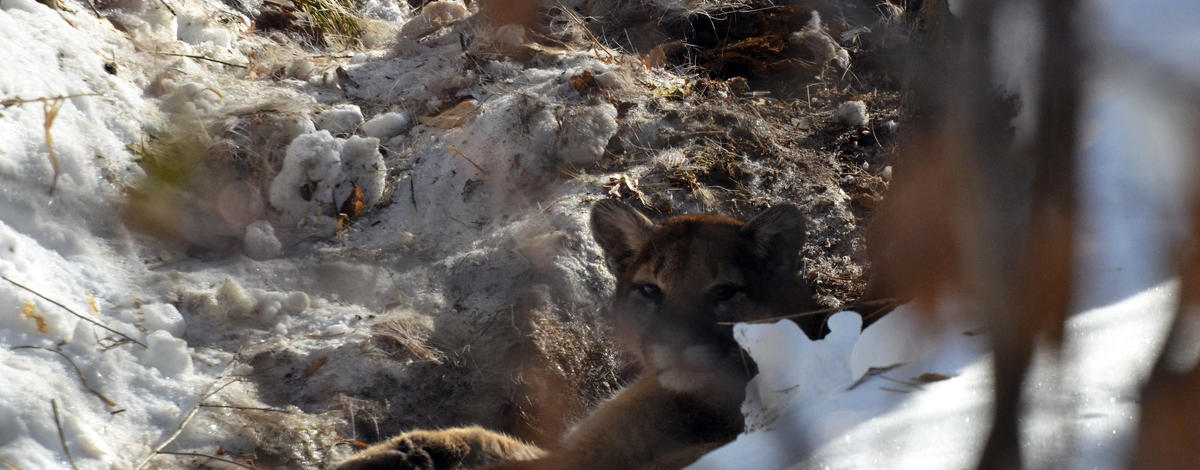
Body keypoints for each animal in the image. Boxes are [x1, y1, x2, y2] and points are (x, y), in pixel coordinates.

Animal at [336, 199, 819, 470]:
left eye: (725, 292)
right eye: (650, 290)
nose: (676, 344)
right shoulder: (573, 451)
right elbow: (478, 436)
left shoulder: (583, 457)